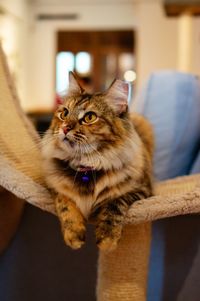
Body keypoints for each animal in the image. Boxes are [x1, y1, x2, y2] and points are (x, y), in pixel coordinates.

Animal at [42, 72, 154, 251]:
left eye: (90, 117)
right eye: (64, 113)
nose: (65, 128)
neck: (87, 167)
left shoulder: (141, 190)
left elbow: (114, 204)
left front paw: (107, 240)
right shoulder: (55, 187)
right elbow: (66, 204)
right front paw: (74, 235)